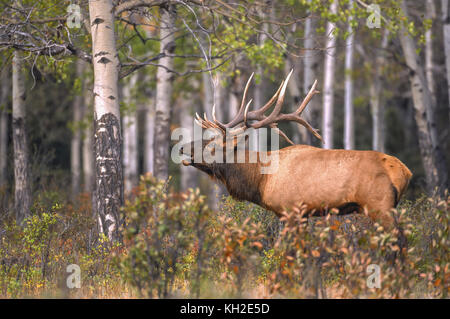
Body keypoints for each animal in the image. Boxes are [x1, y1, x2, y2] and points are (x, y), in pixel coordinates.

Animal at [179, 70, 412, 230]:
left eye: (212, 144)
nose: (182, 147)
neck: (262, 181)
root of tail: (405, 172)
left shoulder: (291, 210)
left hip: (379, 205)